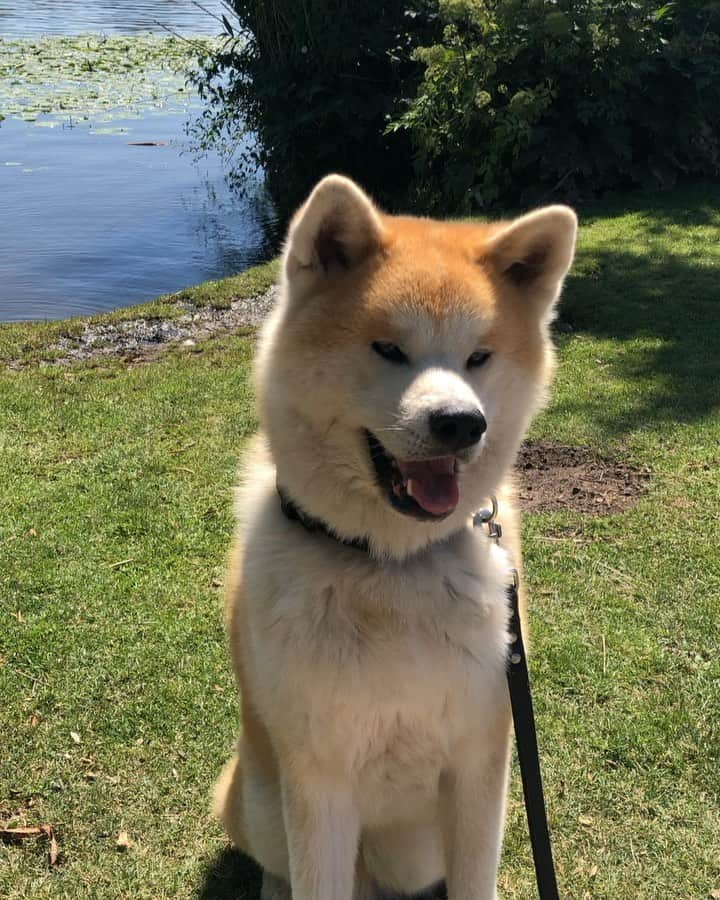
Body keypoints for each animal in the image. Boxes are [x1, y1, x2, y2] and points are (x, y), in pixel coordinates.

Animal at [211, 176, 576, 900]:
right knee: (277, 867)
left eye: (478, 357)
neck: (391, 565)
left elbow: (476, 881)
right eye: (389, 349)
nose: (462, 422)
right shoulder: (318, 782)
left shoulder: (482, 765)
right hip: (258, 796)